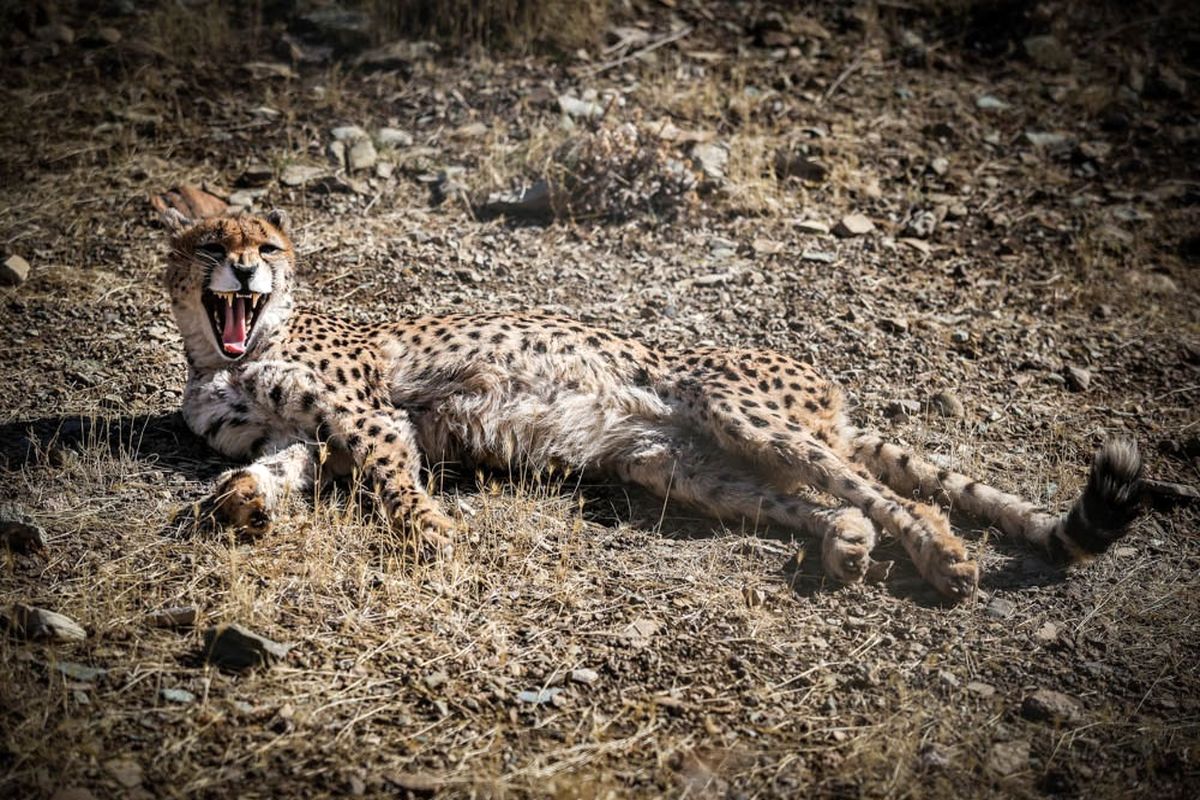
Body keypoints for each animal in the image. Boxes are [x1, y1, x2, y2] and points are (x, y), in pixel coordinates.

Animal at [162, 211, 1142, 599]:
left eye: (268, 246)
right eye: (212, 243)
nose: (244, 269)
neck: (222, 354)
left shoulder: (372, 413)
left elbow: (395, 482)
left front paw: (429, 535)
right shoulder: (324, 430)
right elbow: (283, 463)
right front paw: (241, 501)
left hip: (737, 409)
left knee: (892, 492)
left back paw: (941, 556)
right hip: (678, 466)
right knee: (818, 500)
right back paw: (846, 544)